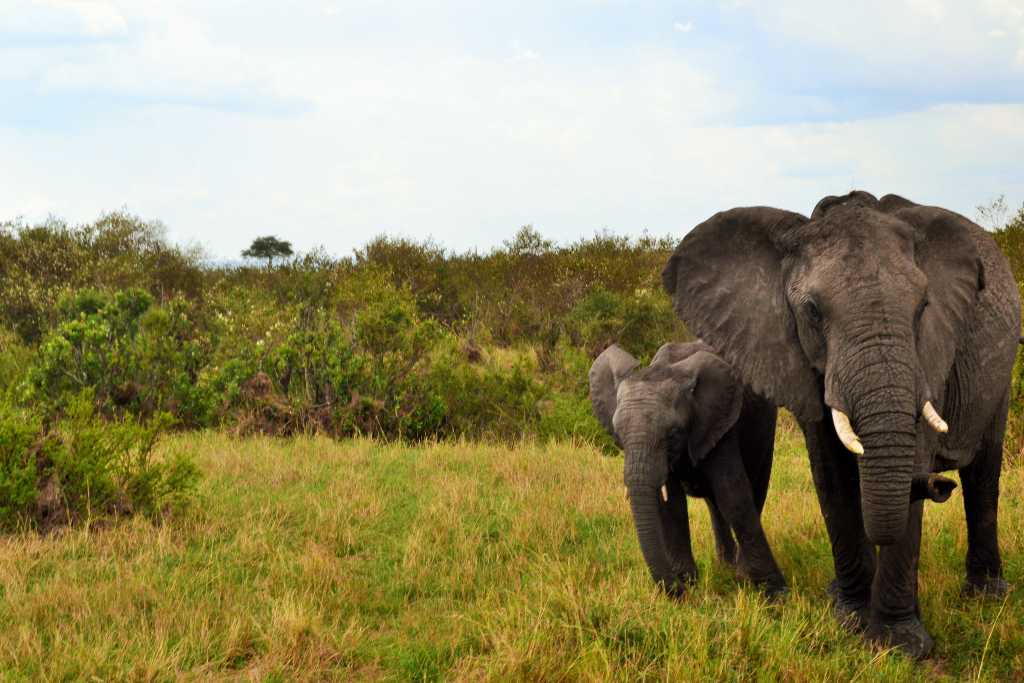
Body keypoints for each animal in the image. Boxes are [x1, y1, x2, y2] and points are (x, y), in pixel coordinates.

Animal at [589, 342, 786, 598]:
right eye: (619, 435)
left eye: (673, 434)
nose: (677, 589)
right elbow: (671, 505)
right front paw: (688, 583)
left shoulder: (719, 425)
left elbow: (733, 497)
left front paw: (776, 595)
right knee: (715, 505)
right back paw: (725, 567)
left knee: (753, 489)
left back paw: (738, 571)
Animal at [659, 191, 1019, 655]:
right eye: (812, 311)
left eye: (923, 307)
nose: (938, 485)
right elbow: (831, 476)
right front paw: (851, 619)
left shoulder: (930, 354)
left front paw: (899, 644)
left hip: (1001, 372)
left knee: (983, 474)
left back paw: (987, 595)